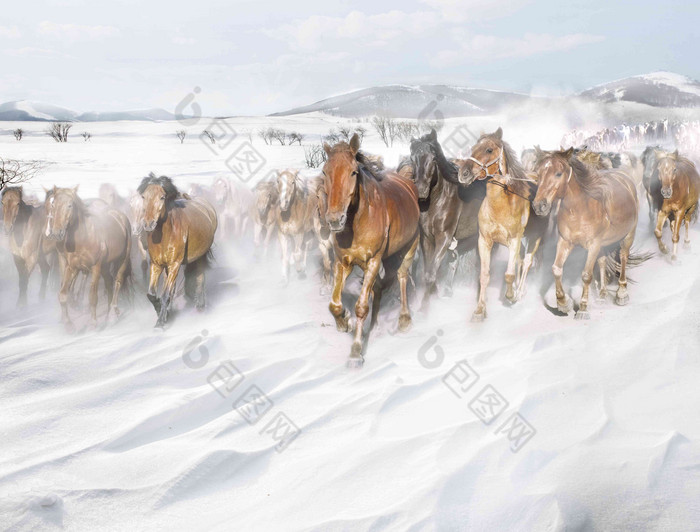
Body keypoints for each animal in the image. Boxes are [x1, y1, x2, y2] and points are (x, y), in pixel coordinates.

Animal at [44, 186, 132, 328]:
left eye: (69, 205)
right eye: (53, 205)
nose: (56, 233)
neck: (84, 237)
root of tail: (120, 216)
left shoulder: (95, 267)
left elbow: (92, 297)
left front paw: (93, 323)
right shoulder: (71, 266)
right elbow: (63, 293)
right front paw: (68, 324)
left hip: (122, 259)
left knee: (118, 281)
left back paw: (112, 314)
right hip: (105, 265)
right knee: (109, 281)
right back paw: (109, 312)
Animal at [135, 175, 215, 326]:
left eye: (162, 197)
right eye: (143, 196)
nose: (148, 224)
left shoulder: (174, 265)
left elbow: (166, 294)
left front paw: (160, 322)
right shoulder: (157, 265)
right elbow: (152, 294)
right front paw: (163, 312)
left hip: (200, 256)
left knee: (200, 276)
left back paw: (200, 306)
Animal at [324, 134, 422, 366]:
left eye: (353, 172)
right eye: (324, 172)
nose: (334, 220)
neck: (358, 221)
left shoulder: (373, 261)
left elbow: (361, 306)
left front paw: (356, 352)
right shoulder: (343, 262)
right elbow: (334, 303)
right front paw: (344, 322)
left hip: (409, 247)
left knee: (402, 277)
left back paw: (404, 320)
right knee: (378, 287)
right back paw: (374, 326)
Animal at [456, 128, 532, 320]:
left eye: (489, 149)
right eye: (473, 148)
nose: (463, 173)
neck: (500, 207)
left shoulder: (514, 240)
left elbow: (509, 274)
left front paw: (510, 296)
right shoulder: (484, 241)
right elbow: (484, 276)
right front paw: (479, 310)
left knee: (527, 262)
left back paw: (520, 292)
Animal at [532, 148, 644, 318]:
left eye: (558, 173)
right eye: (537, 174)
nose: (539, 206)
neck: (579, 209)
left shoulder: (593, 245)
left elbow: (586, 275)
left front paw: (583, 308)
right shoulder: (565, 241)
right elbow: (556, 269)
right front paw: (563, 303)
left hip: (628, 235)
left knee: (623, 257)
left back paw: (621, 294)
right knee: (603, 261)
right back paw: (602, 295)